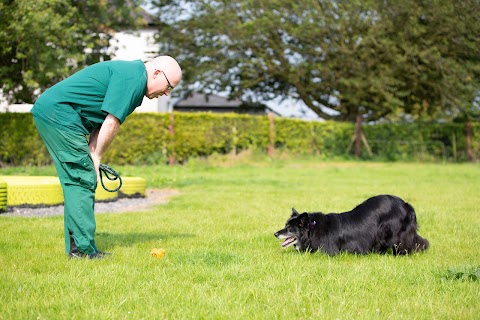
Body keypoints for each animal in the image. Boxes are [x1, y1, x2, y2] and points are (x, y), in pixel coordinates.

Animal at [276, 195, 430, 255]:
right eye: (285, 225)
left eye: (289, 228)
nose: (275, 233)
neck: (312, 228)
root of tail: (405, 204)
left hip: (396, 233)